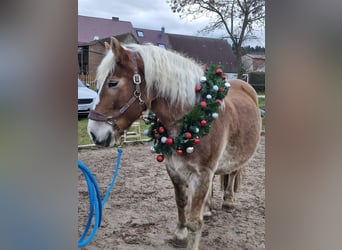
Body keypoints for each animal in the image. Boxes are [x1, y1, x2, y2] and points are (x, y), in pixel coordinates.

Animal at [87, 37, 260, 250]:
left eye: (113, 83)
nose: (94, 133)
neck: (193, 119)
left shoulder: (202, 174)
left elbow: (194, 222)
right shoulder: (174, 170)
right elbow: (181, 203)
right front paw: (180, 234)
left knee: (234, 172)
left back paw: (228, 201)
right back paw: (208, 209)